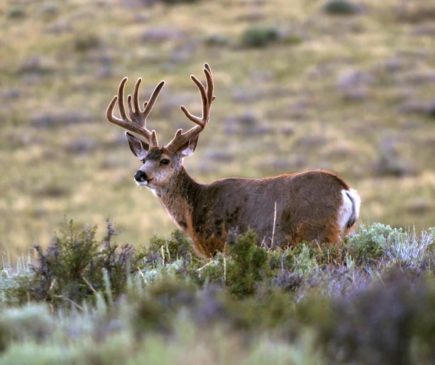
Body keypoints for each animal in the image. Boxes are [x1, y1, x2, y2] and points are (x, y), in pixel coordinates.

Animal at [106, 64, 362, 258]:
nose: (140, 175)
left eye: (165, 161)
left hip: (319, 234)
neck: (194, 208)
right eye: (143, 159)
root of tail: (345, 190)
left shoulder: (219, 249)